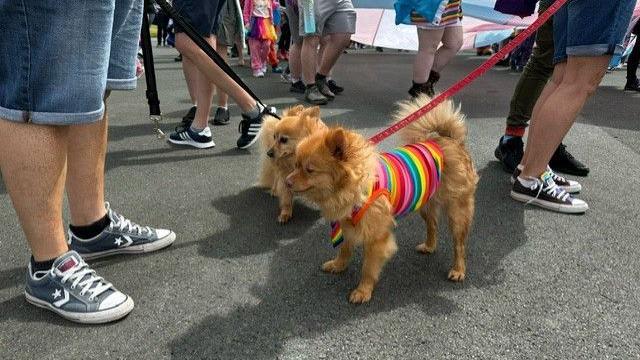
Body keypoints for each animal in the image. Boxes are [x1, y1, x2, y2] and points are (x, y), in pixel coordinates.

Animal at [284, 95, 476, 304]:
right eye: (295, 165)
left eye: (309, 170)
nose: (286, 182)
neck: (356, 186)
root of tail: (450, 140)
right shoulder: (349, 224)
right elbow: (344, 249)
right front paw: (338, 265)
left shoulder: (376, 237)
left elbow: (368, 268)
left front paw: (363, 290)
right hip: (426, 204)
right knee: (432, 225)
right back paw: (429, 246)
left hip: (457, 212)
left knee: (459, 244)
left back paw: (458, 269)